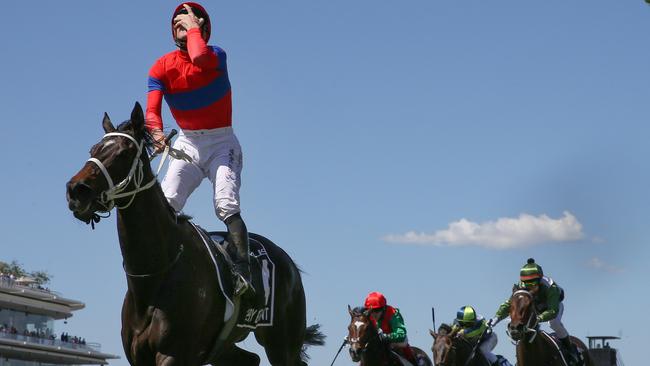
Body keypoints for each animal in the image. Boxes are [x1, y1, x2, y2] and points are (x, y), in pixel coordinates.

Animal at [66, 101, 324, 364]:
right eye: (93, 149)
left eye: (123, 153)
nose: (76, 190)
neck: (154, 275)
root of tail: (290, 263)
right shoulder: (140, 356)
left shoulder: (174, 354)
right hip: (224, 348)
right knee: (251, 358)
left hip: (282, 342)